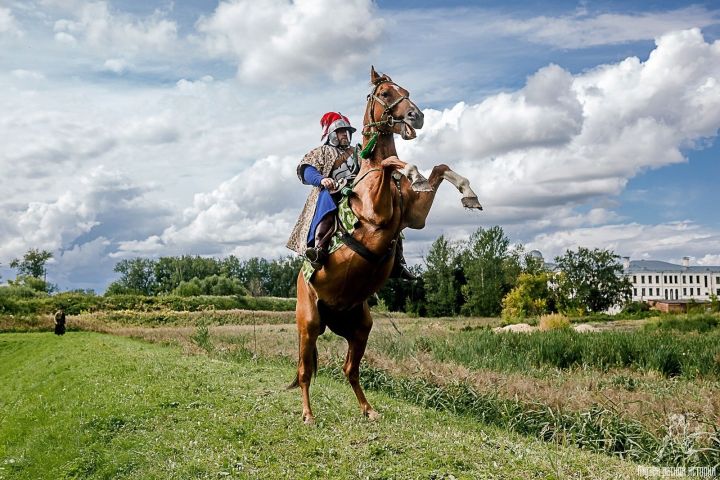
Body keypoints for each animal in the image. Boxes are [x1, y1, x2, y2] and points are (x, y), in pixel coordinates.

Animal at [290, 64, 480, 424]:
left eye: (405, 90)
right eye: (385, 93)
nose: (417, 116)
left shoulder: (415, 217)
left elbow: (440, 168)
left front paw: (468, 193)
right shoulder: (376, 214)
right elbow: (392, 164)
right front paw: (412, 172)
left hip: (359, 327)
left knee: (350, 370)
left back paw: (369, 410)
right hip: (309, 324)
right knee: (305, 371)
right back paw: (308, 414)